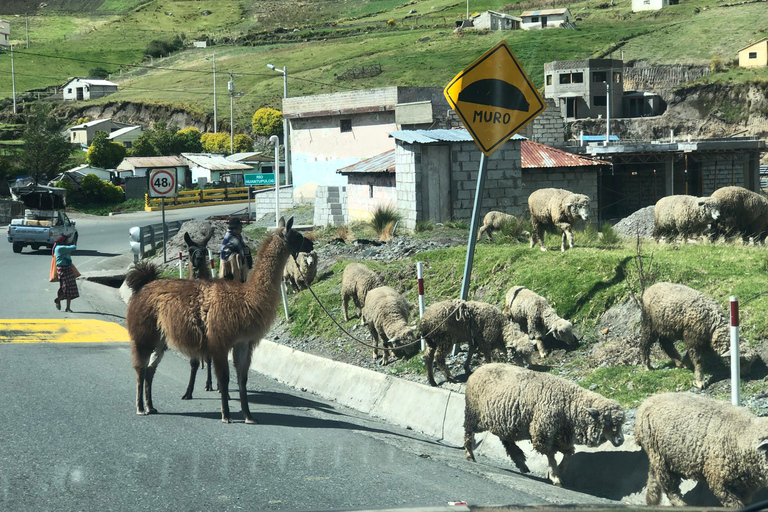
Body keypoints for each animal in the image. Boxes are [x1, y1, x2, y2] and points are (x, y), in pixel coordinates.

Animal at [462, 362, 624, 486]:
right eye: (608, 422)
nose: (621, 440)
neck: (569, 404)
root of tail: (479, 368)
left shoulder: (561, 437)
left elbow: (568, 453)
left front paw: (561, 470)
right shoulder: (543, 432)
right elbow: (551, 456)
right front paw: (555, 476)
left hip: (502, 421)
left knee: (507, 441)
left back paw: (521, 464)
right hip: (473, 414)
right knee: (468, 433)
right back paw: (470, 455)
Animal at [632, 392, 768, 508]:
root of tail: (646, 403)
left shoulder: (745, 487)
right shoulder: (719, 481)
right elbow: (734, 505)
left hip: (658, 454)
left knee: (653, 476)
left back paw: (651, 501)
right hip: (660, 457)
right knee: (668, 486)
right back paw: (681, 505)